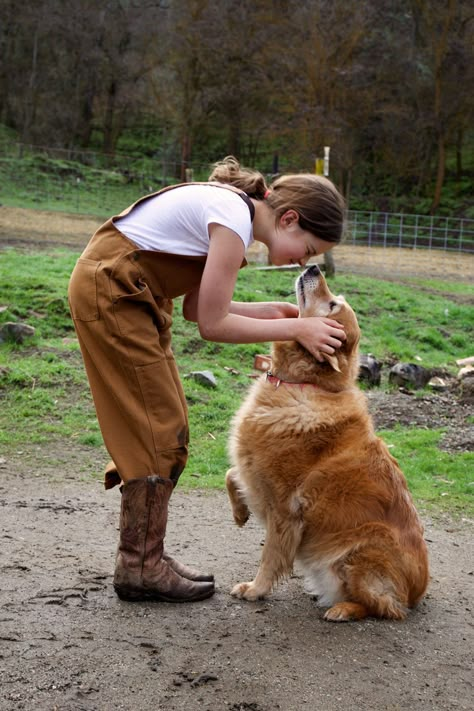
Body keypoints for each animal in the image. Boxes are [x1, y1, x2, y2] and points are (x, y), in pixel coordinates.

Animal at [226, 264, 430, 620]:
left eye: (332, 304)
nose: (314, 266)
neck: (306, 383)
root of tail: (417, 594)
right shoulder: (254, 471)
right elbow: (230, 475)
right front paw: (240, 513)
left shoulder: (285, 510)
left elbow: (271, 557)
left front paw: (256, 589)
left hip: (363, 551)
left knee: (385, 607)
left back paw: (343, 609)